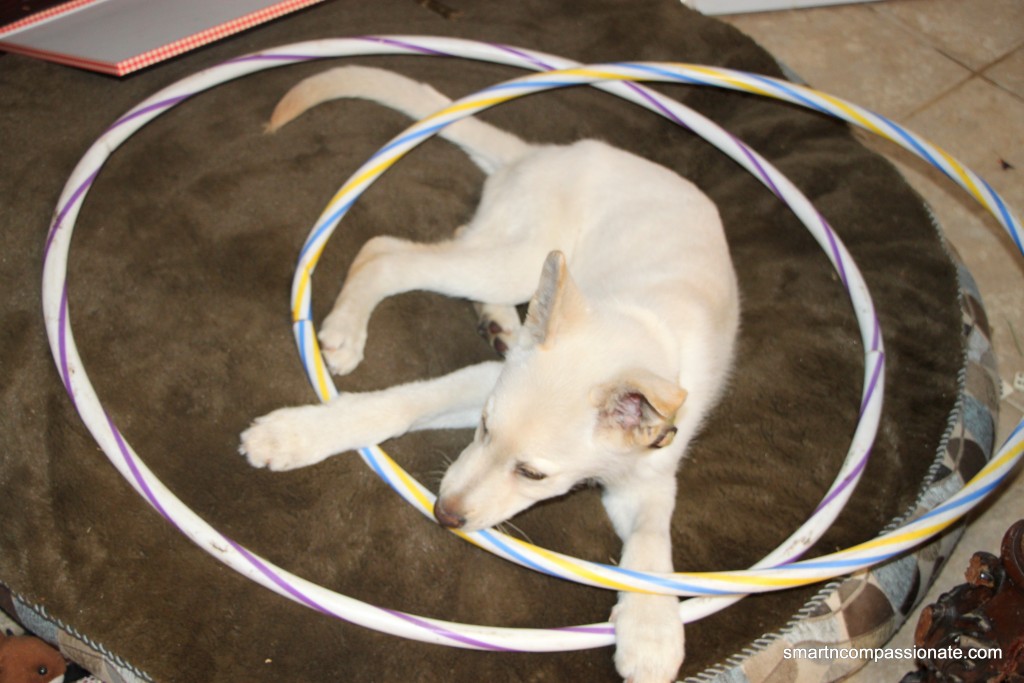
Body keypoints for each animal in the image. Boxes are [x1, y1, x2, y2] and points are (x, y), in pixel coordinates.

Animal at [239, 68, 737, 683]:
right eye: (481, 428)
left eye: (533, 474)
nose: (443, 515)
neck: (640, 325)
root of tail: (543, 151)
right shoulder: (483, 383)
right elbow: (398, 404)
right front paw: (295, 435)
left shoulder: (647, 478)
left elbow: (650, 538)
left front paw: (651, 628)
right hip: (523, 254)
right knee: (386, 252)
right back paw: (351, 327)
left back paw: (500, 321)